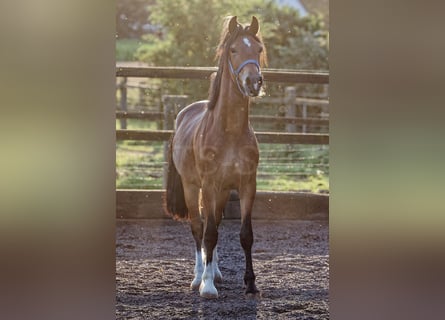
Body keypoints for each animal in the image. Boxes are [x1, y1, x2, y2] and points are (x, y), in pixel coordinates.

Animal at [164, 15, 266, 300]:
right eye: (233, 50)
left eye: (258, 49)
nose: (254, 82)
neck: (230, 131)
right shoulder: (208, 185)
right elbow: (207, 233)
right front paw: (207, 287)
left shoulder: (246, 185)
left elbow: (244, 235)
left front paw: (250, 284)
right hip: (192, 187)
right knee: (199, 227)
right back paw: (199, 276)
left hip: (220, 192)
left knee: (214, 223)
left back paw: (216, 272)